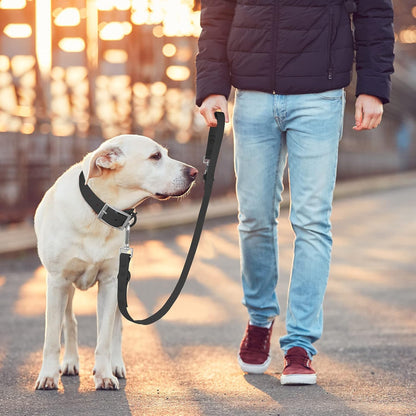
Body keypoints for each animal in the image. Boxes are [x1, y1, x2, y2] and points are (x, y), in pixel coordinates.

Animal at [35, 134, 197, 390]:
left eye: (165, 153)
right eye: (155, 156)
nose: (195, 172)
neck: (99, 210)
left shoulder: (111, 283)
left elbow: (105, 338)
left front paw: (104, 374)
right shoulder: (57, 281)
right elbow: (51, 337)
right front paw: (48, 375)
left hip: (121, 285)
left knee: (116, 328)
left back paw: (116, 365)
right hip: (66, 288)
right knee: (69, 321)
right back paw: (70, 361)